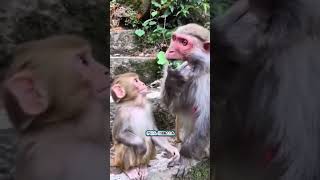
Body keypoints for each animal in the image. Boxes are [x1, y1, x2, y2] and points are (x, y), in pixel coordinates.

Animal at [160, 23, 210, 176]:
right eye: (174, 38)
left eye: (184, 42)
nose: (169, 51)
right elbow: (176, 107)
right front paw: (173, 80)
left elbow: (207, 117)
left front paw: (186, 157)